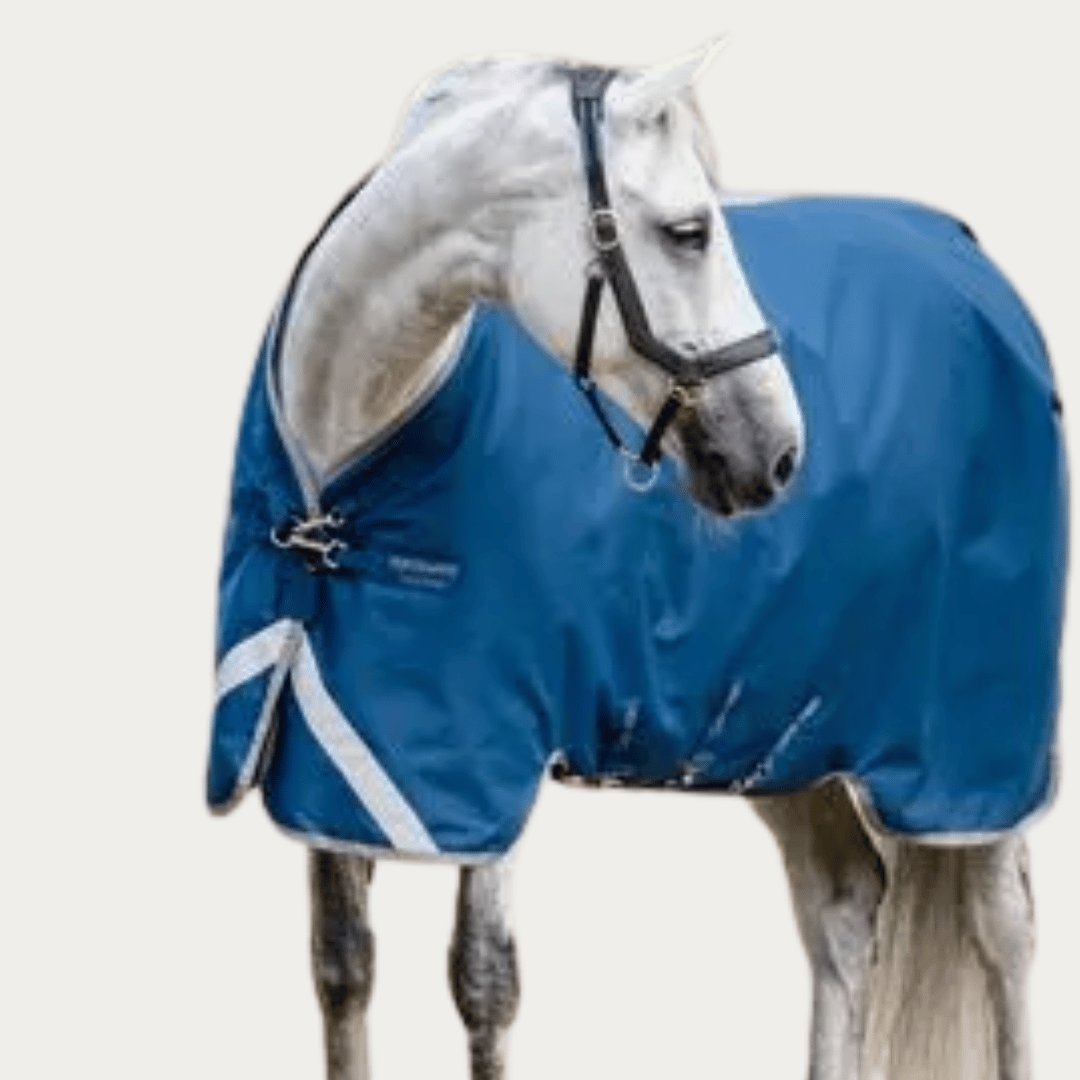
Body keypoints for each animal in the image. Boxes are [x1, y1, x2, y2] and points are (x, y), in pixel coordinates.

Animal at [208, 49, 1066, 1080]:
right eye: (689, 231)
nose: (779, 453)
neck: (340, 472)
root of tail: (979, 272)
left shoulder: (491, 746)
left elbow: (482, 980)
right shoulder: (328, 743)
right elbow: (342, 966)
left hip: (968, 755)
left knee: (1004, 932)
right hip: (784, 730)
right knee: (844, 905)